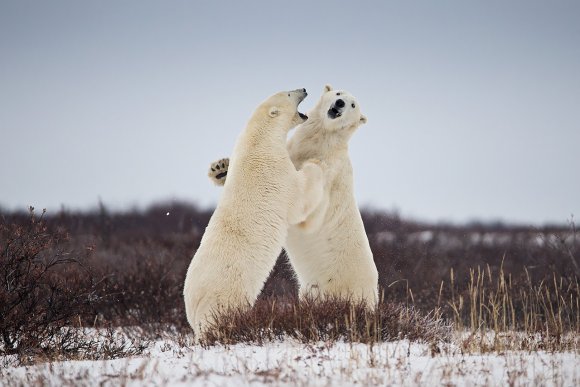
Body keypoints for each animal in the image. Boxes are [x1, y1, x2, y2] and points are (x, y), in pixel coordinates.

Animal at [184, 88, 324, 340]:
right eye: (289, 94)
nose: (304, 89)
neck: (259, 141)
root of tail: (194, 310)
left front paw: (221, 169)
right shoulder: (276, 172)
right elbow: (299, 200)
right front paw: (315, 163)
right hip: (226, 296)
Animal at [208, 85, 380, 310]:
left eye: (353, 105)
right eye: (338, 93)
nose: (340, 104)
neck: (319, 144)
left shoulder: (331, 177)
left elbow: (307, 214)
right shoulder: (290, 152)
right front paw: (220, 168)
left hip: (347, 288)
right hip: (310, 289)